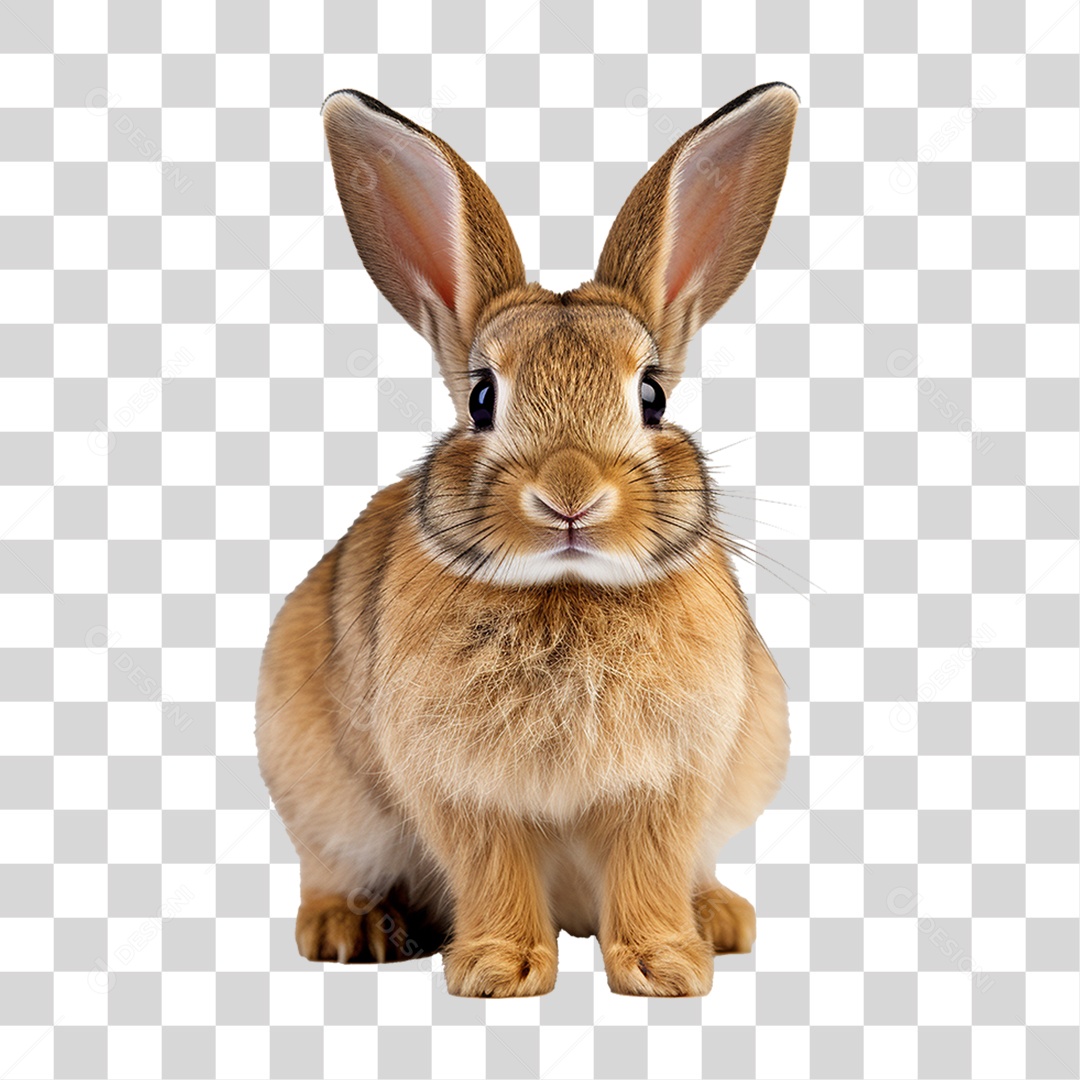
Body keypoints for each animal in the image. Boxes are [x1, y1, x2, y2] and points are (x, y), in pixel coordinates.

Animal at [255, 82, 798, 997]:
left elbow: (650, 866)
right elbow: (493, 865)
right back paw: (351, 927)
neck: (566, 588)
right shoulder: (464, 787)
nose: (569, 496)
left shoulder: (670, 782)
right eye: (482, 397)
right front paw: (500, 970)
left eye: (651, 397)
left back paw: (721, 918)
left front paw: (664, 966)